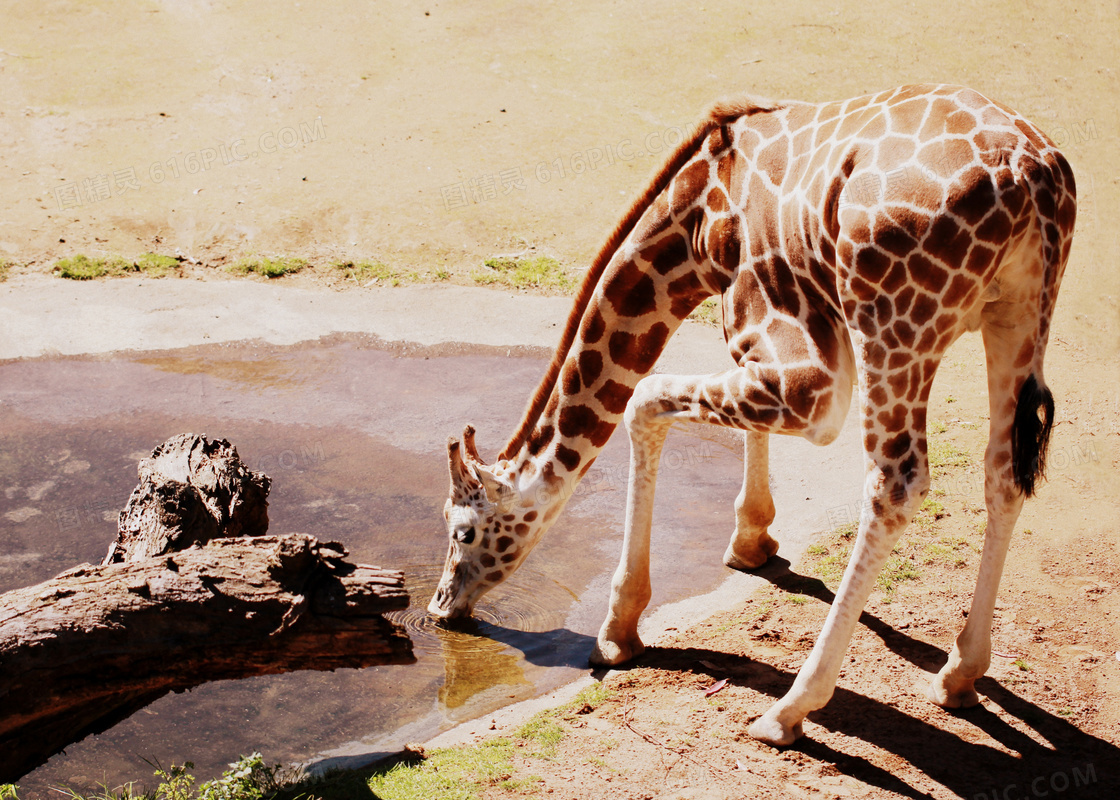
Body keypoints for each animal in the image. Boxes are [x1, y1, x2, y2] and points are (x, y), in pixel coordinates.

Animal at [425, 84, 1075, 743]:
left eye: (463, 530)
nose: (440, 607)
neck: (692, 219)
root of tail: (1031, 174)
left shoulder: (805, 374)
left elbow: (641, 402)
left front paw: (618, 630)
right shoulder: (760, 338)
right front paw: (752, 539)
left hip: (894, 323)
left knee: (896, 484)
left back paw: (789, 708)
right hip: (1019, 312)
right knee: (1004, 474)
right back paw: (959, 674)